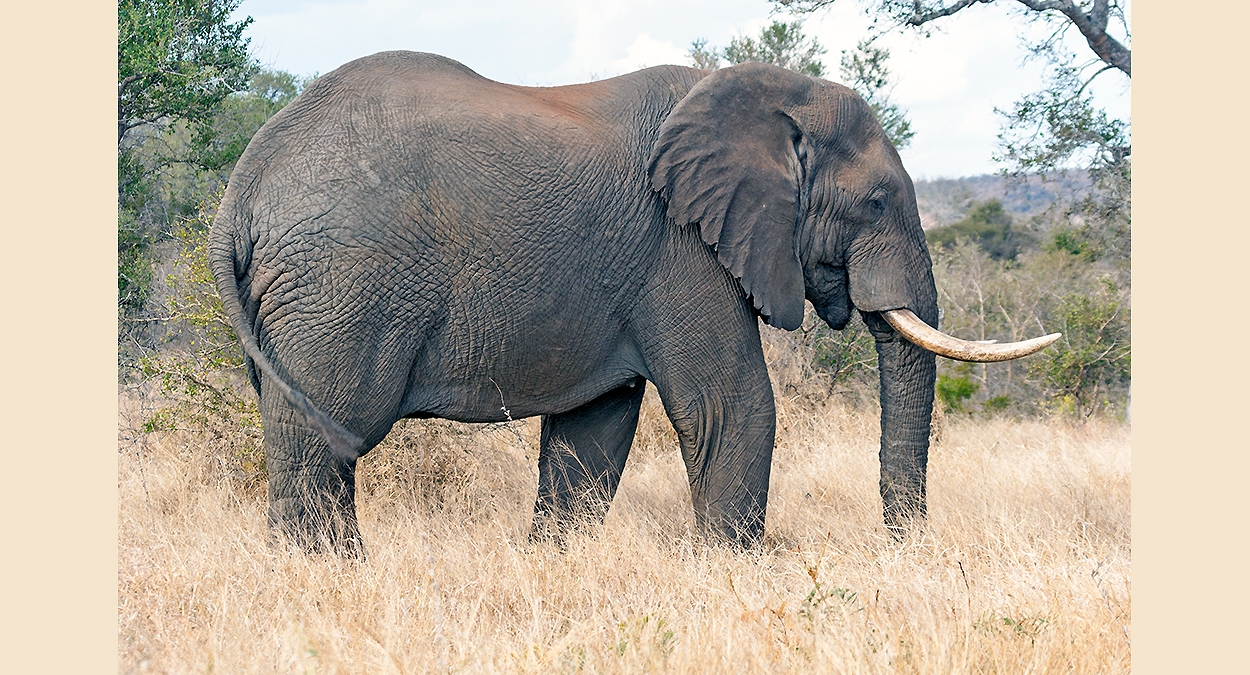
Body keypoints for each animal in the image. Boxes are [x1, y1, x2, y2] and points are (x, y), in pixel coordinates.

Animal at [209, 51, 1057, 554]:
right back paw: (332, 571)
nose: (904, 549)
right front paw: (730, 573)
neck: (759, 95)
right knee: (325, 440)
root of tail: (240, 192)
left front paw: (554, 564)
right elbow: (732, 402)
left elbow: (593, 431)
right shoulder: (681, 247)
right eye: (876, 203)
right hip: (339, 289)